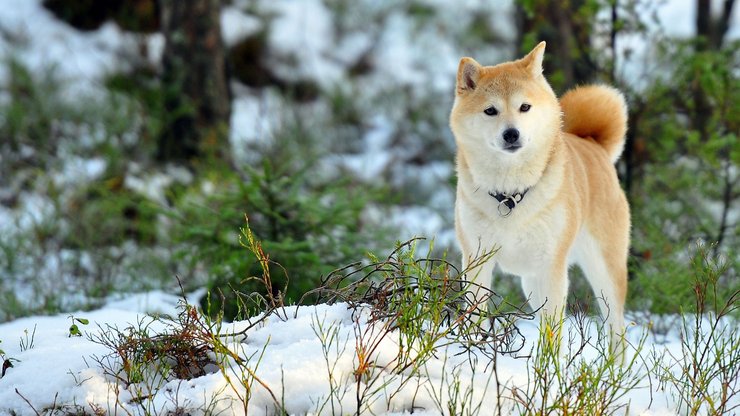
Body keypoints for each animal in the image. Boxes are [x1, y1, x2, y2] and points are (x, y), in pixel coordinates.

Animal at [450, 41, 632, 348]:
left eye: (525, 107)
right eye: (490, 111)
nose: (511, 134)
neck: (510, 194)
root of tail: (593, 144)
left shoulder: (552, 268)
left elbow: (552, 335)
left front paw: (549, 362)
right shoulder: (477, 259)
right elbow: (475, 315)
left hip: (604, 273)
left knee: (616, 330)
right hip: (531, 283)